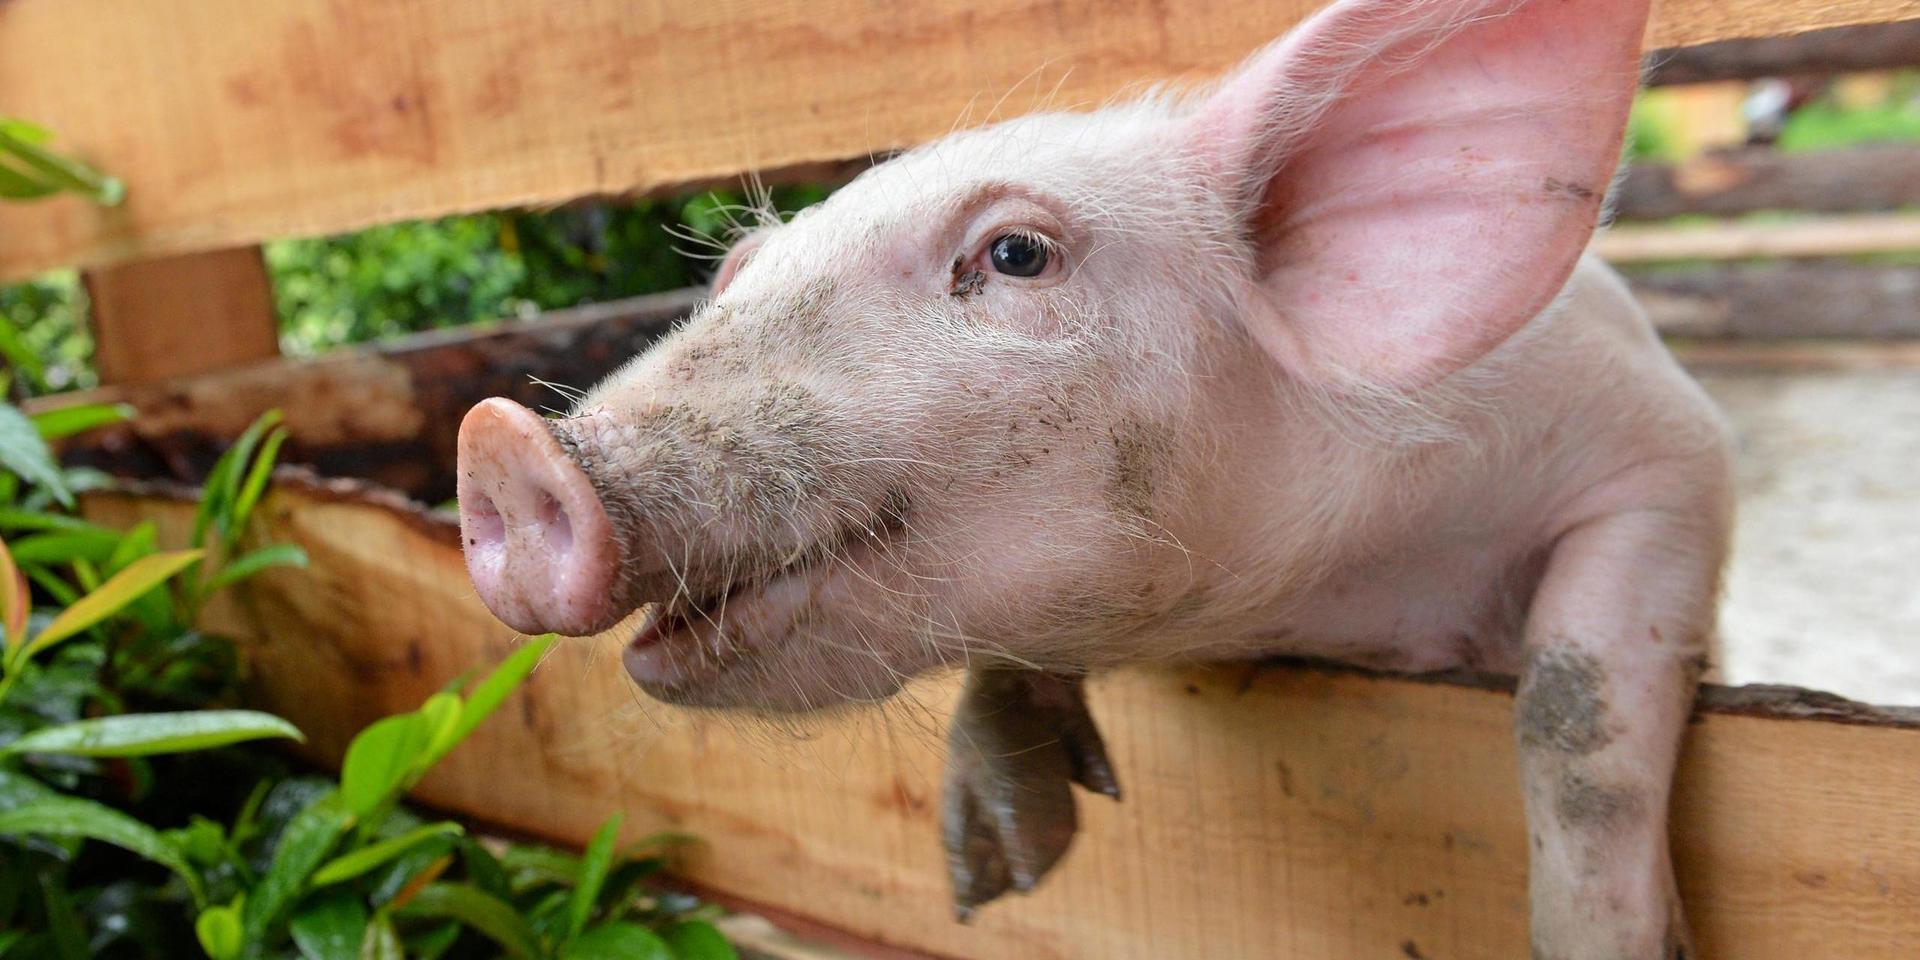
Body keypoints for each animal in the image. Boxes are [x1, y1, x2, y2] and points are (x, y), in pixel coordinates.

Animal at [456, 1, 1735, 952]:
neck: (1316, 609)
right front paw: (993, 878)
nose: (504, 445)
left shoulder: (1667, 455)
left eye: (1017, 253)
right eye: (736, 279)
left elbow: (1570, 710)